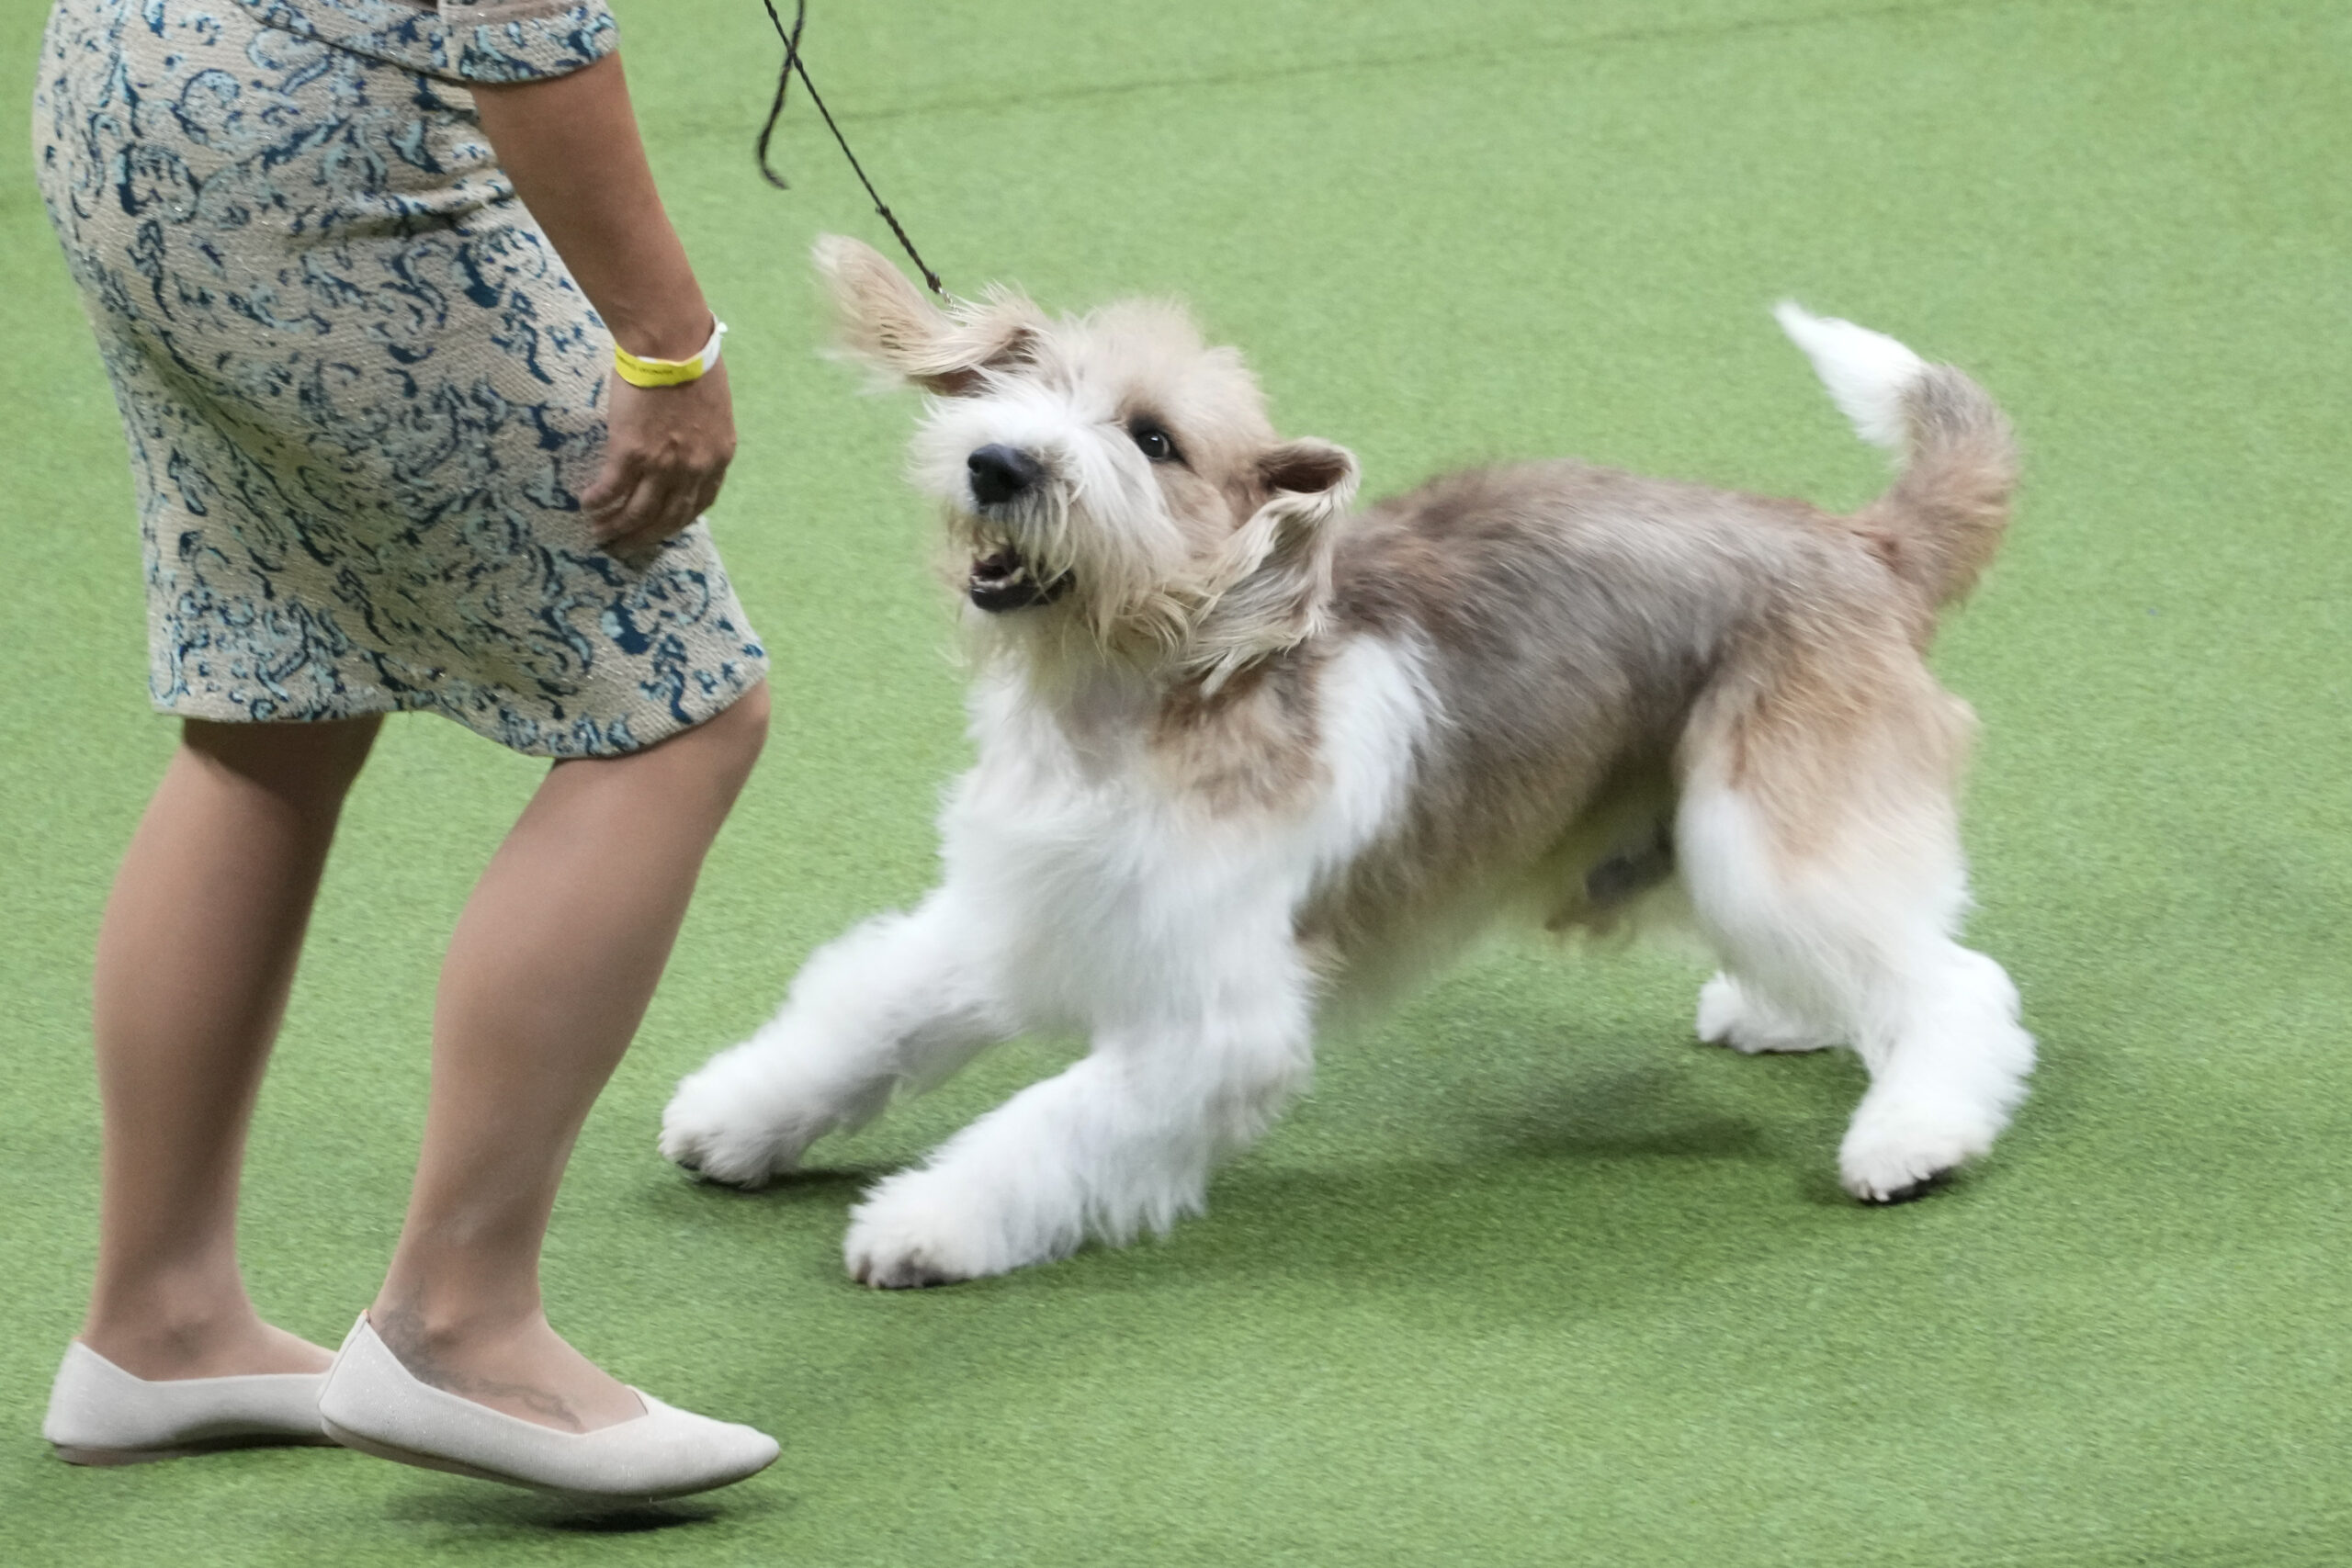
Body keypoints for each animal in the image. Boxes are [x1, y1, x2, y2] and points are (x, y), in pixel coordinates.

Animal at [653, 236, 2031, 1288]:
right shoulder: (1011, 915)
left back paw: (1911, 1136)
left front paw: (922, 1224)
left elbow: (1044, 1125)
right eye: (1016, 383)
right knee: (1879, 957)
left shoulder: (1212, 1026)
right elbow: (864, 1016)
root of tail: (1861, 545)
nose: (1000, 463)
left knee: (1955, 983)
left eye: (1152, 440)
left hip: (1763, 834)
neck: (1128, 708)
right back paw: (1786, 1017)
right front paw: (734, 1119)